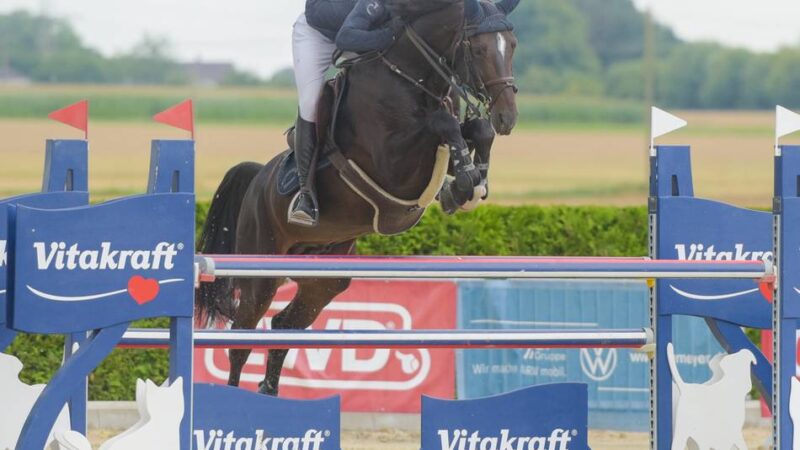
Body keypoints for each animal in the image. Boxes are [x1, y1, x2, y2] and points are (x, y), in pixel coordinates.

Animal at [196, 0, 520, 396]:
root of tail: (258, 178)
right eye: (477, 49)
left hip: (324, 278)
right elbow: (442, 125)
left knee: (284, 327)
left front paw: (467, 185)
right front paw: (466, 180)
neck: (413, 77)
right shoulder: (392, 161)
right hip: (260, 270)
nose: (508, 116)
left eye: (512, 45)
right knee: (242, 339)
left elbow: (476, 129)